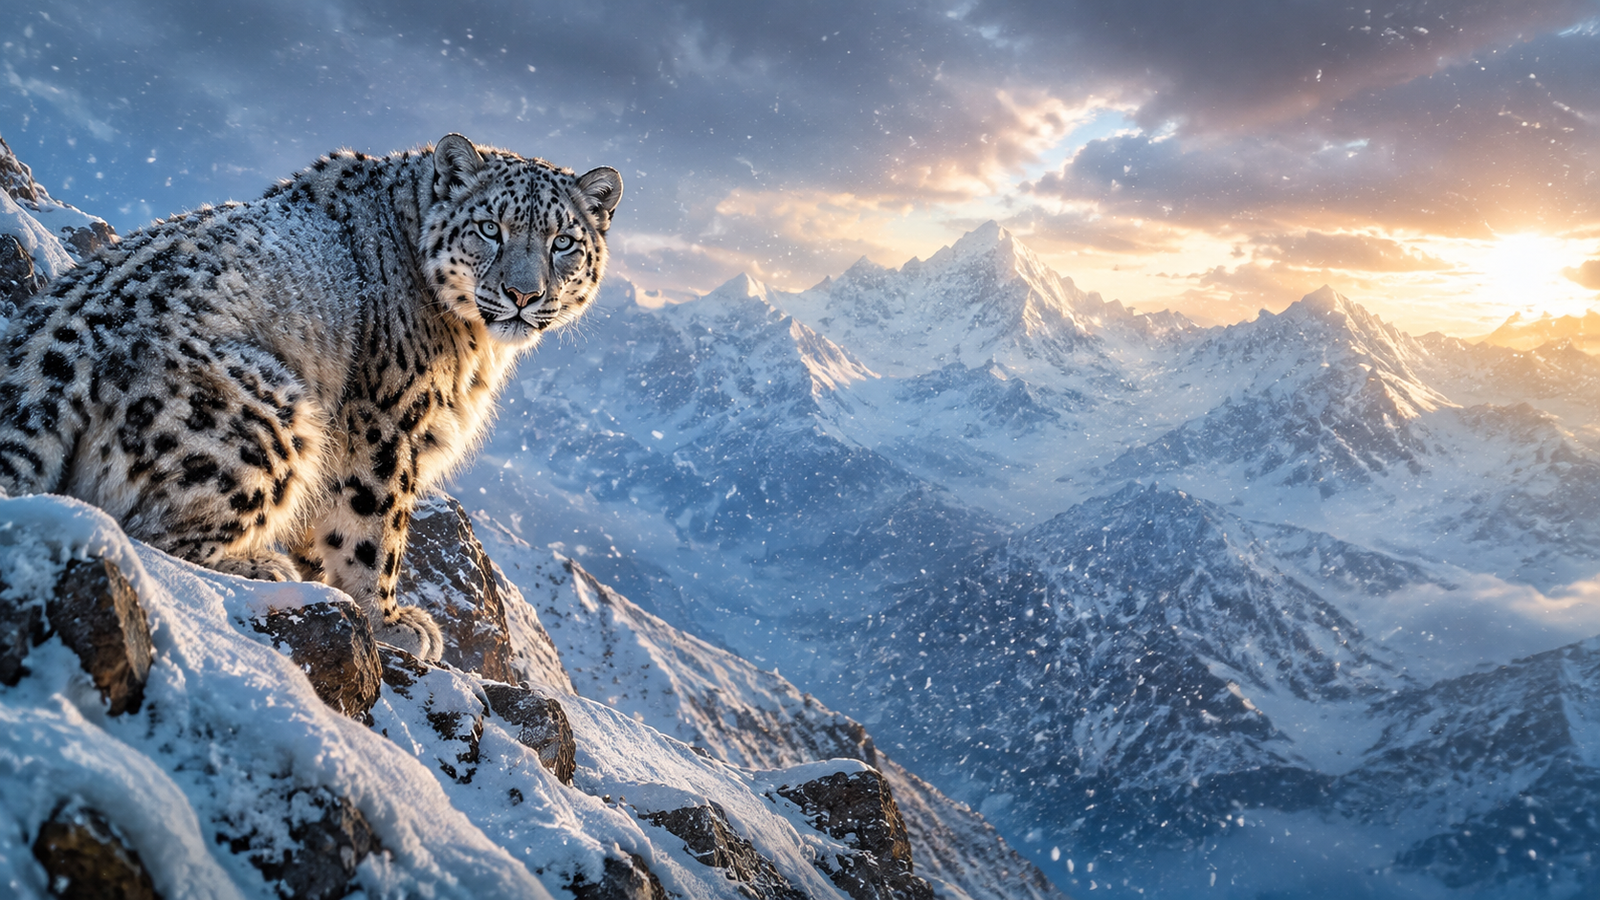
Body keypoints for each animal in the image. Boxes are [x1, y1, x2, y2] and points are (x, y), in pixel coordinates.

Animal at [0, 134, 621, 661]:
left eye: (563, 242)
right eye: (490, 227)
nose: (523, 294)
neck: (476, 350)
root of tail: (40, 362)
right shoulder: (385, 426)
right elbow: (374, 528)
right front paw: (389, 618)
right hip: (271, 416)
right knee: (148, 534)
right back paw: (264, 568)